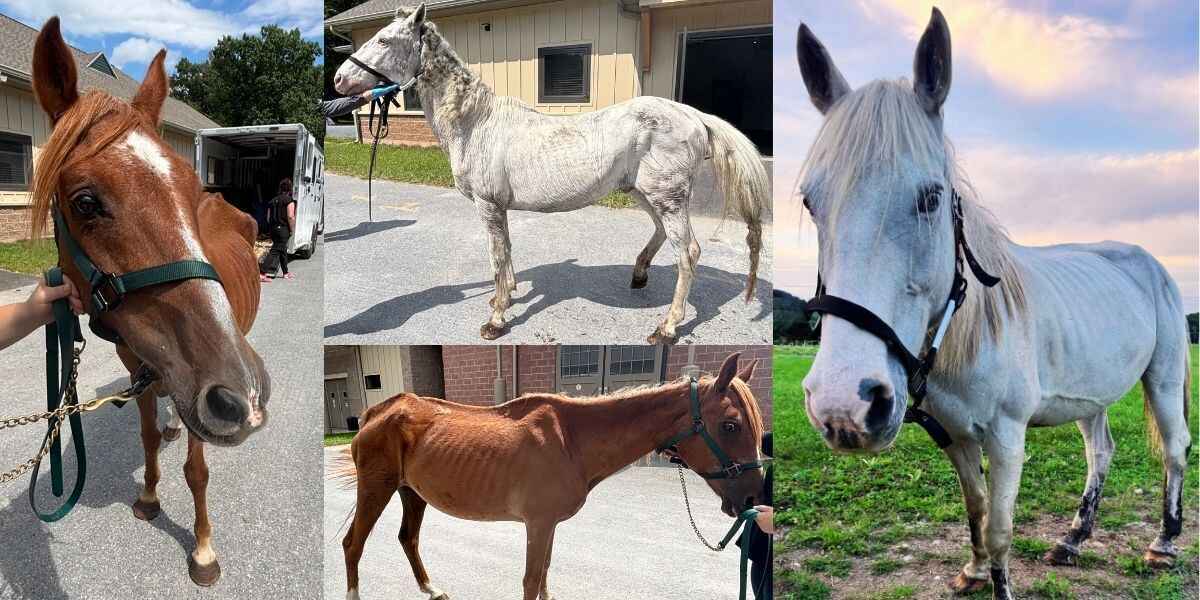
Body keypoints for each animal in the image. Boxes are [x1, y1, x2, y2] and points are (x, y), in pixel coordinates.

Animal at [30, 17, 268, 586]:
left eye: (189, 187)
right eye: (85, 203)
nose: (241, 394)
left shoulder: (205, 395)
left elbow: (197, 472)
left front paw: (203, 550)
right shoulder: (142, 370)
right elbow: (146, 438)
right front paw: (149, 497)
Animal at [332, 4, 768, 345]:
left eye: (384, 41)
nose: (338, 79)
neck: (475, 122)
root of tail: (693, 115)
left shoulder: (488, 206)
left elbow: (497, 256)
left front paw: (496, 320)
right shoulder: (498, 208)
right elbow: (505, 253)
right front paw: (504, 297)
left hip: (668, 197)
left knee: (687, 253)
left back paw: (666, 328)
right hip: (643, 193)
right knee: (663, 235)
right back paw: (640, 274)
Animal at [335, 351, 765, 600]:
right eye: (730, 425)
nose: (751, 500)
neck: (571, 439)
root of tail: (378, 411)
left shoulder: (550, 525)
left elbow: (543, 574)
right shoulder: (537, 524)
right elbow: (530, 579)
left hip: (411, 492)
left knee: (407, 539)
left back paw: (432, 589)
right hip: (375, 489)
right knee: (353, 544)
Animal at [795, 8, 1191, 599]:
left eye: (931, 198)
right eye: (810, 202)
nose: (844, 408)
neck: (971, 332)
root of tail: (1150, 262)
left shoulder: (1007, 438)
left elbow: (1002, 527)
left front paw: (997, 578)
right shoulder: (956, 437)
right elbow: (976, 510)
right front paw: (975, 570)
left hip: (1162, 379)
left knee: (1174, 447)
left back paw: (1163, 543)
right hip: (1092, 395)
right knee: (1100, 452)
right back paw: (1072, 539)